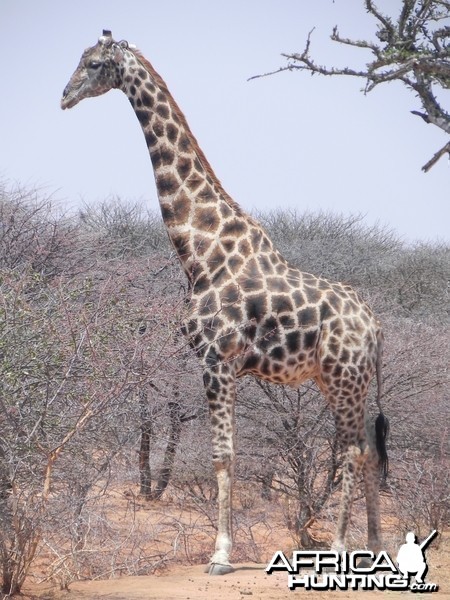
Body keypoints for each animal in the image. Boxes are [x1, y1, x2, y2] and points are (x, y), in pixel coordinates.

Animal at [61, 30, 388, 576]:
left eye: (93, 64)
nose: (64, 96)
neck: (200, 250)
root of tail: (376, 327)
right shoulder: (225, 366)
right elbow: (227, 454)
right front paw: (222, 548)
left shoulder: (215, 359)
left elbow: (222, 455)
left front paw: (220, 554)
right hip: (341, 380)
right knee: (364, 448)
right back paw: (375, 544)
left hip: (344, 378)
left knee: (351, 451)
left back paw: (344, 546)